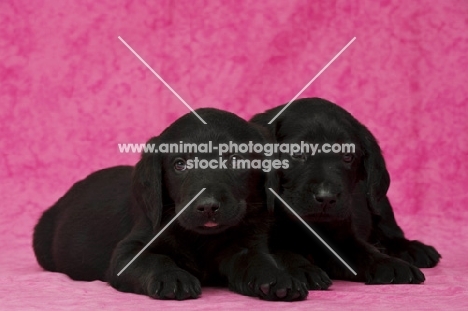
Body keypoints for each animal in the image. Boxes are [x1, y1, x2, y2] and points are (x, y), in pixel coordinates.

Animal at [34, 108, 308, 302]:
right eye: (180, 164)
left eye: (234, 159)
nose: (207, 207)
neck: (201, 238)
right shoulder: (128, 252)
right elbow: (155, 260)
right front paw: (172, 277)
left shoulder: (246, 245)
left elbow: (259, 261)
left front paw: (278, 278)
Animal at [250, 98, 440, 286]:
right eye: (297, 154)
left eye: (347, 157)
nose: (326, 197)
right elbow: (280, 251)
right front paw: (302, 269)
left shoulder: (343, 234)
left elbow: (363, 250)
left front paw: (389, 263)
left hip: (379, 204)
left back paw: (414, 249)